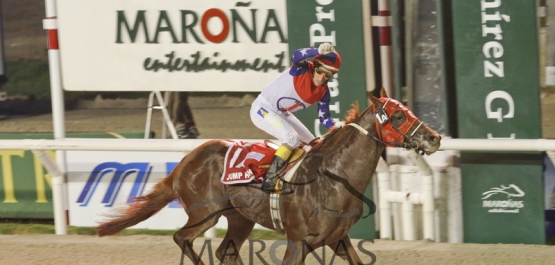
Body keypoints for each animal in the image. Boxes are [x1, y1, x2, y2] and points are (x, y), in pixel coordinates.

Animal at [96, 89, 444, 262]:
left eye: (407, 109)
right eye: (397, 115)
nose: (434, 138)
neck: (332, 178)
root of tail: (184, 163)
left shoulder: (337, 239)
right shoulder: (299, 241)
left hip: (240, 218)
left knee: (225, 251)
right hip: (205, 214)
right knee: (183, 238)